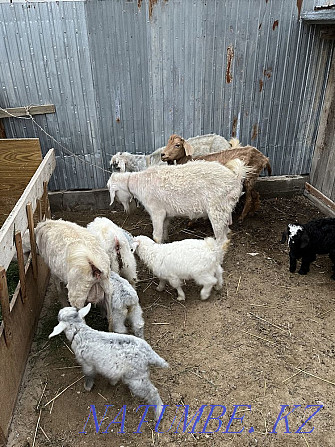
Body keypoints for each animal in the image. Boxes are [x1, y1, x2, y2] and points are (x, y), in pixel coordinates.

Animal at [107, 159, 249, 243]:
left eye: (115, 194)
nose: (126, 210)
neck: (138, 183)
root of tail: (236, 178)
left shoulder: (156, 211)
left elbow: (156, 235)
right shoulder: (166, 213)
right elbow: (164, 229)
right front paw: (165, 241)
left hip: (216, 209)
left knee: (222, 238)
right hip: (224, 208)